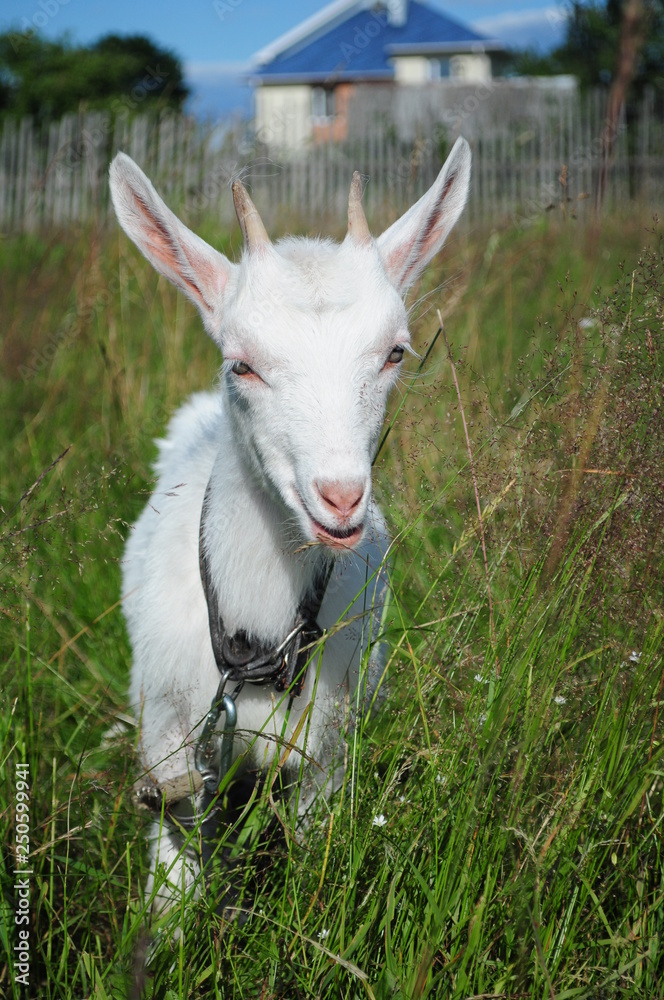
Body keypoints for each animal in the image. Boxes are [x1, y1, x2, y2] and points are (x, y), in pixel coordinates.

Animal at [109, 138, 471, 915]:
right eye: (240, 363)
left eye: (395, 353)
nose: (339, 497)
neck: (258, 633)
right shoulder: (175, 751)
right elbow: (174, 889)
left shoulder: (323, 756)